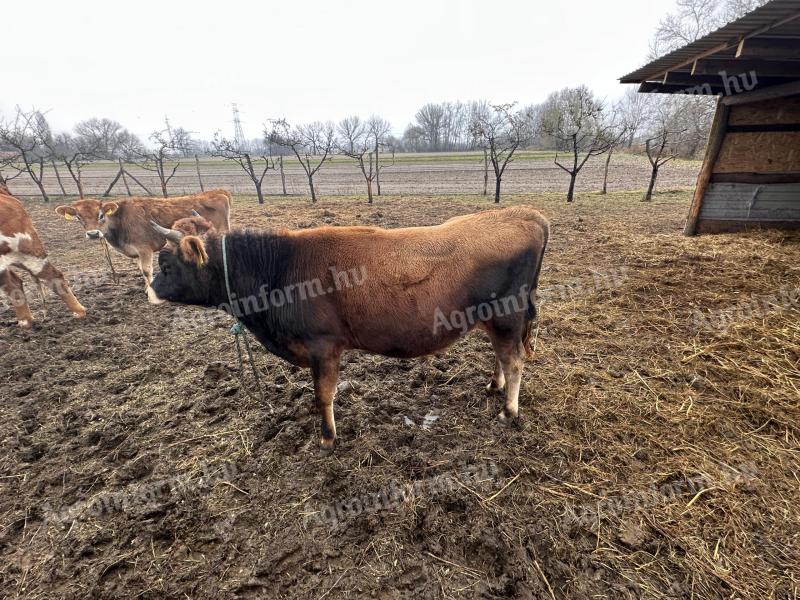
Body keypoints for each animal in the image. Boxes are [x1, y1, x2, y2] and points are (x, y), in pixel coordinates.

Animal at [55, 190, 231, 288]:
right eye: (78, 217)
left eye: (101, 215)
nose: (92, 234)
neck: (121, 219)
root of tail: (218, 193)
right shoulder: (137, 253)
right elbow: (141, 270)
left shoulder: (144, 249)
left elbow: (146, 270)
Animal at [148, 205, 552, 450]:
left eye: (166, 265)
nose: (150, 290)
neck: (280, 268)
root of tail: (526, 214)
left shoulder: (322, 345)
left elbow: (323, 394)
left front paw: (327, 437)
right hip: (496, 319)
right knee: (502, 357)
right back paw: (494, 386)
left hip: (506, 316)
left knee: (514, 360)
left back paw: (509, 411)